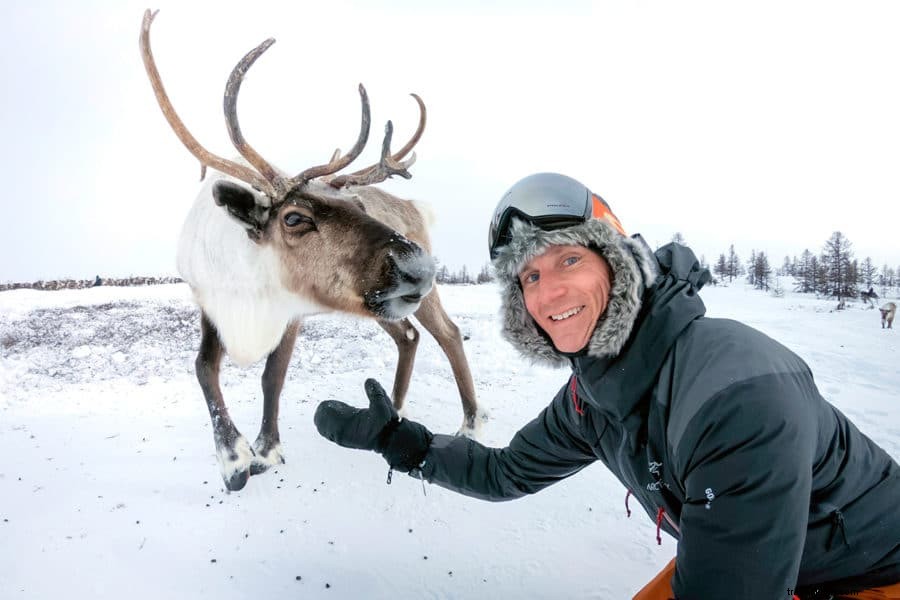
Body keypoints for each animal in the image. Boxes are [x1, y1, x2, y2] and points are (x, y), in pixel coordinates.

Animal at [139, 10, 484, 491]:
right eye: (293, 218)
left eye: (358, 205)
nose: (419, 265)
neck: (249, 292)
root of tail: (413, 206)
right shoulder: (208, 304)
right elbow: (203, 368)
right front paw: (232, 459)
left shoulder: (291, 314)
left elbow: (272, 376)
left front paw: (263, 452)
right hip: (383, 304)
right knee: (410, 335)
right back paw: (394, 410)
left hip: (412, 298)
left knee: (448, 333)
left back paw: (470, 423)